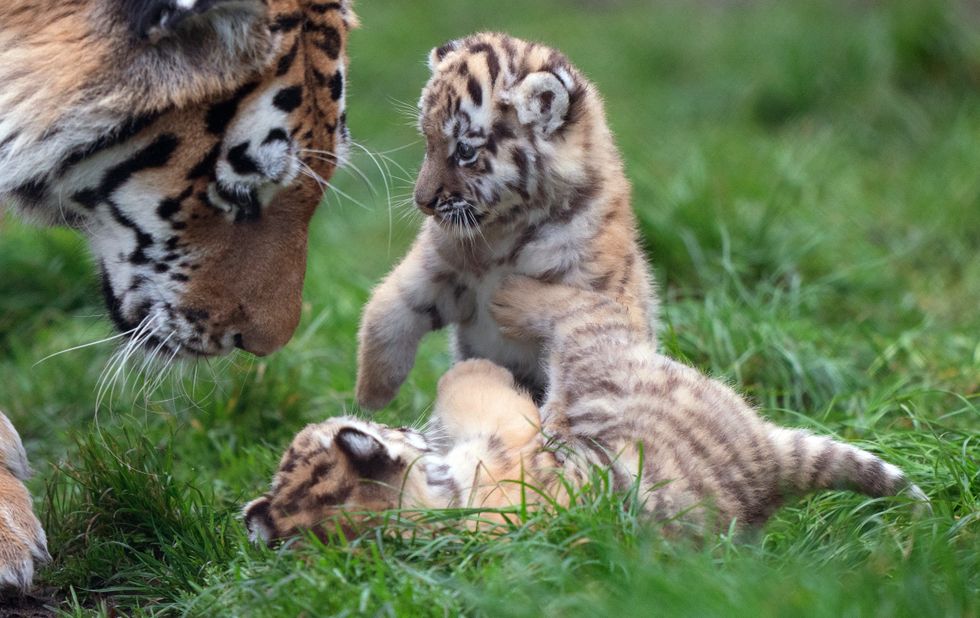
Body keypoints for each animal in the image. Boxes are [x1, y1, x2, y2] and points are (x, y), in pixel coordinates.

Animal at [244, 276, 928, 544]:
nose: (401, 426)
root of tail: (764, 454)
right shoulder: (513, 433)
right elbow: (469, 380)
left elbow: (463, 382)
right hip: (601, 354)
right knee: (579, 307)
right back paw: (513, 300)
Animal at [354, 32, 657, 410]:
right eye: (428, 141)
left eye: (465, 150)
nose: (422, 203)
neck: (503, 235)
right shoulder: (439, 268)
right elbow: (388, 306)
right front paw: (371, 392)